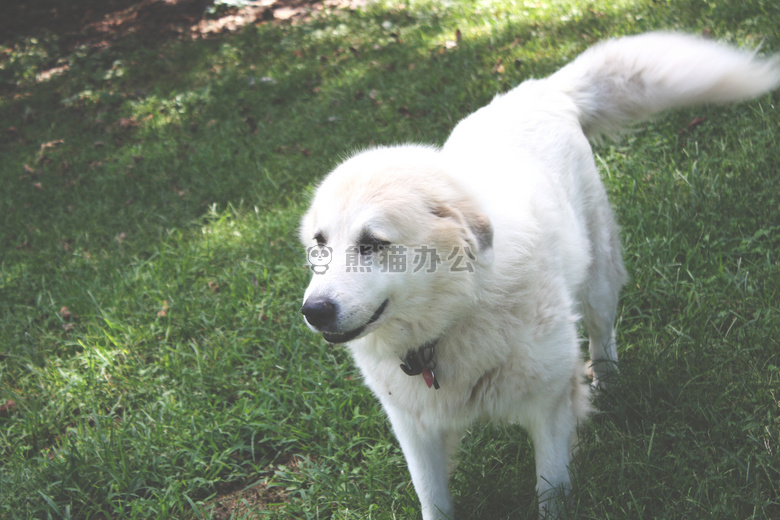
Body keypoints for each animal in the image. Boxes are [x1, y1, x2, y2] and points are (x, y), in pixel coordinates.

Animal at [298, 33, 780, 520]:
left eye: (373, 243)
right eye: (320, 243)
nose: (313, 311)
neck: (456, 318)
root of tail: (541, 90)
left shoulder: (548, 408)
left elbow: (550, 490)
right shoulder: (417, 431)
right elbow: (434, 501)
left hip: (598, 281)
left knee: (603, 337)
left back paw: (608, 386)